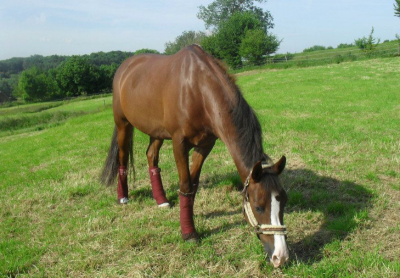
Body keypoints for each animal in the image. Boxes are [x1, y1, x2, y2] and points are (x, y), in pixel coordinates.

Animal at [99, 44, 288, 268]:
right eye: (258, 207)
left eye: (284, 202)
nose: (281, 256)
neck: (197, 90)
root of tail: (124, 67)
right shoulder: (179, 144)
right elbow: (185, 184)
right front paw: (188, 233)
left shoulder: (205, 145)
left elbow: (193, 185)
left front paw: (188, 217)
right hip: (123, 124)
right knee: (122, 157)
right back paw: (123, 197)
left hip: (157, 131)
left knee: (151, 156)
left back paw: (161, 200)